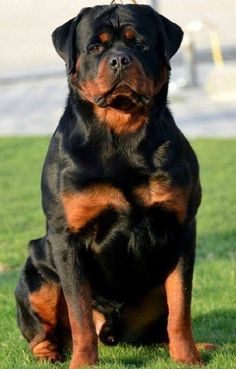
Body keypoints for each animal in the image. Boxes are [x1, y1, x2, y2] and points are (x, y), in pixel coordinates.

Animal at [15, 3, 210, 368]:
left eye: (140, 44)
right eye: (95, 47)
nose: (120, 59)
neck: (122, 135)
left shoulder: (181, 228)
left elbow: (181, 304)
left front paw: (188, 357)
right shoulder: (67, 239)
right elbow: (79, 315)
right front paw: (82, 362)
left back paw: (200, 345)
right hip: (37, 275)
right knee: (44, 332)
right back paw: (51, 354)